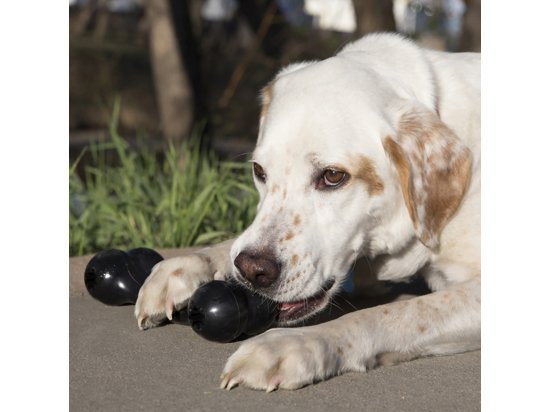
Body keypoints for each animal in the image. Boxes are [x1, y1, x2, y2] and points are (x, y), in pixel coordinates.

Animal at [136, 33, 480, 392]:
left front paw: (293, 344)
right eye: (259, 170)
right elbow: (230, 245)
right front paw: (185, 265)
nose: (253, 270)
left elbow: (392, 313)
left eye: (333, 176)